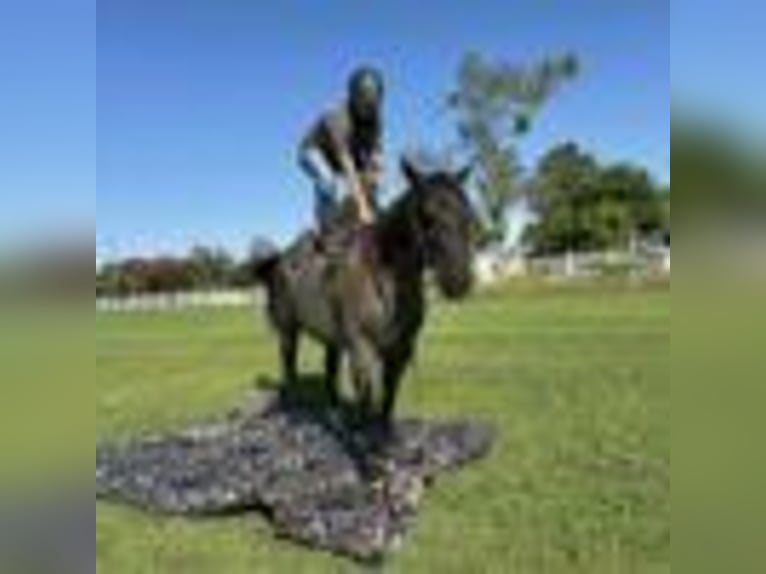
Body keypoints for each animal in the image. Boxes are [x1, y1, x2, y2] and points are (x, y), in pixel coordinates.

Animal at [253, 156, 477, 434]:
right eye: (427, 216)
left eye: (468, 214)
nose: (459, 280)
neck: (384, 279)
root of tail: (280, 260)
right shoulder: (362, 350)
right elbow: (367, 400)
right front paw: (364, 439)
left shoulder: (399, 352)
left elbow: (388, 398)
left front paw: (383, 436)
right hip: (288, 332)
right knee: (289, 367)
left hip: (332, 339)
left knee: (329, 372)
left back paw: (335, 417)